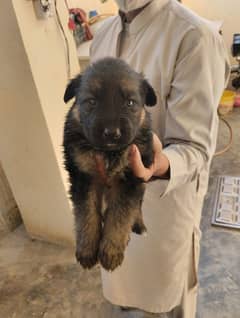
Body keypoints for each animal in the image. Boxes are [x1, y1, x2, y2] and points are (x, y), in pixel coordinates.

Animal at [62, 57, 157, 270]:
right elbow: (86, 214)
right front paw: (87, 249)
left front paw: (111, 251)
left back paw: (139, 225)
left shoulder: (131, 178)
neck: (108, 152)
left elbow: (120, 216)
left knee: (137, 206)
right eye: (91, 102)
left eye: (130, 103)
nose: (112, 133)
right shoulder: (82, 178)